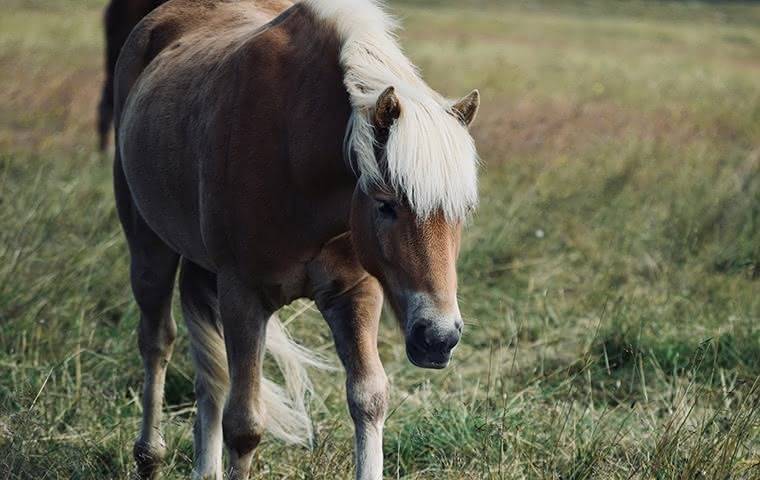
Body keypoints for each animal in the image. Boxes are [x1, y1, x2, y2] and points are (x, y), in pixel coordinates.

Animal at [113, 0, 480, 480]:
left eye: (464, 211)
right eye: (386, 204)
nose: (439, 338)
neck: (296, 153)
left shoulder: (356, 293)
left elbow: (369, 399)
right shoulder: (243, 297)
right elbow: (244, 425)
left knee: (209, 376)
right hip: (149, 247)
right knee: (157, 343)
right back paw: (149, 454)